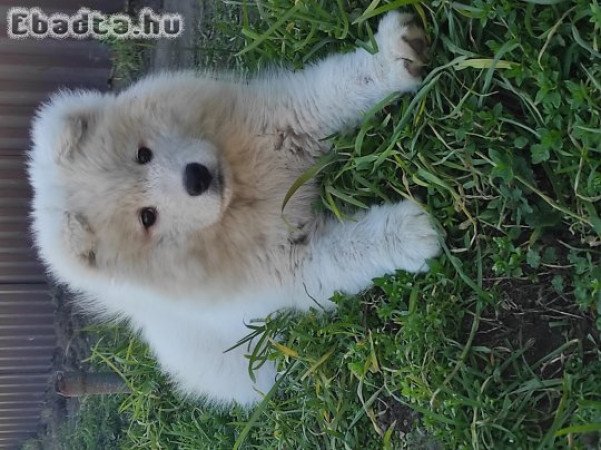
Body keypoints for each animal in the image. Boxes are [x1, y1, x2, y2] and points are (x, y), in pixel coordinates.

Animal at [28, 13, 438, 408]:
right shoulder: (292, 263)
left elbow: (338, 86)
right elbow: (352, 250)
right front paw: (410, 233)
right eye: (147, 218)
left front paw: (393, 57)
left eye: (142, 155)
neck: (241, 196)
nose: (196, 178)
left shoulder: (286, 118)